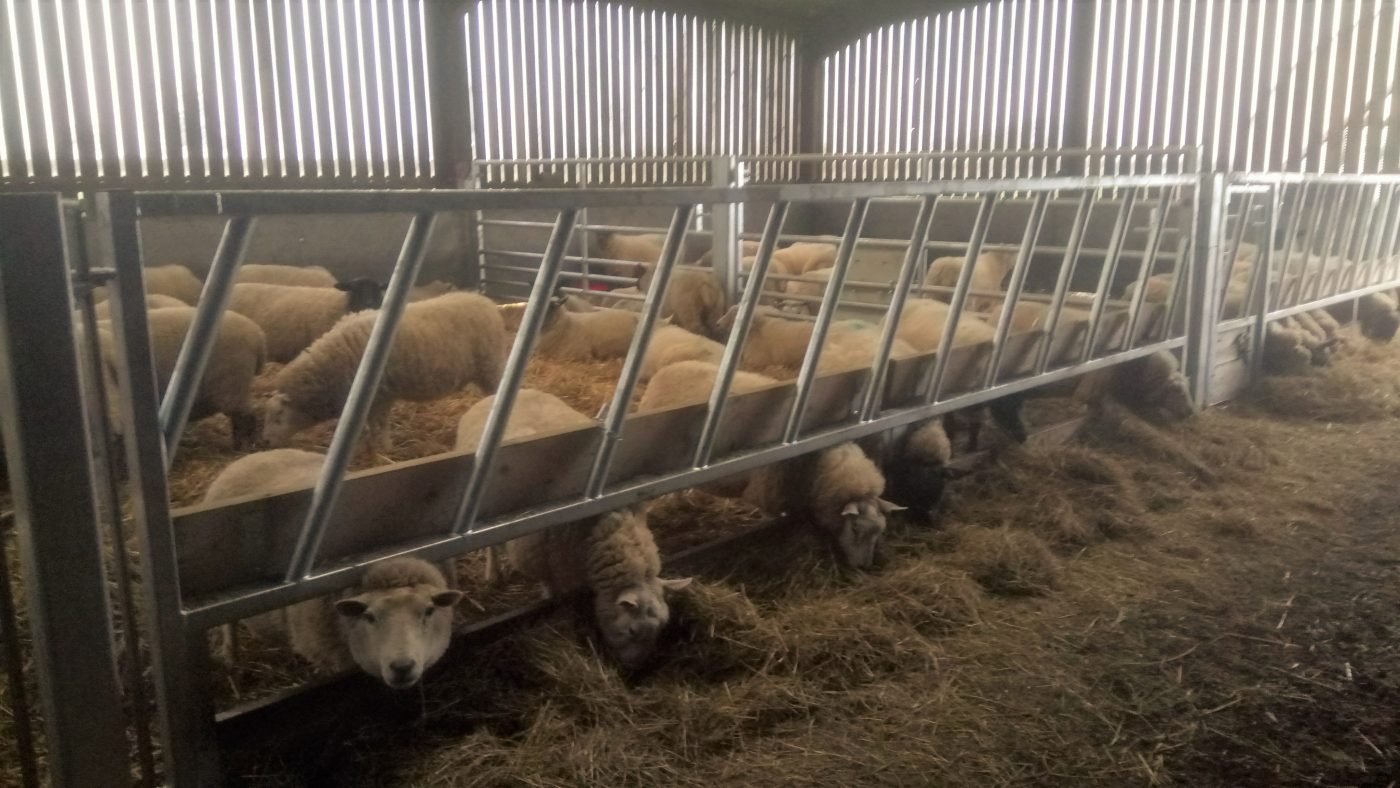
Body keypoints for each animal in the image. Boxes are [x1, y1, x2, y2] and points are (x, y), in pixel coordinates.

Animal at [262, 292, 506, 451]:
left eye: (278, 415)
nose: (264, 442)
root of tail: (486, 302)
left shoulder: (379, 394)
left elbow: (379, 423)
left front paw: (383, 447)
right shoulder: (380, 396)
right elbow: (375, 423)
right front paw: (374, 444)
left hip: (490, 364)